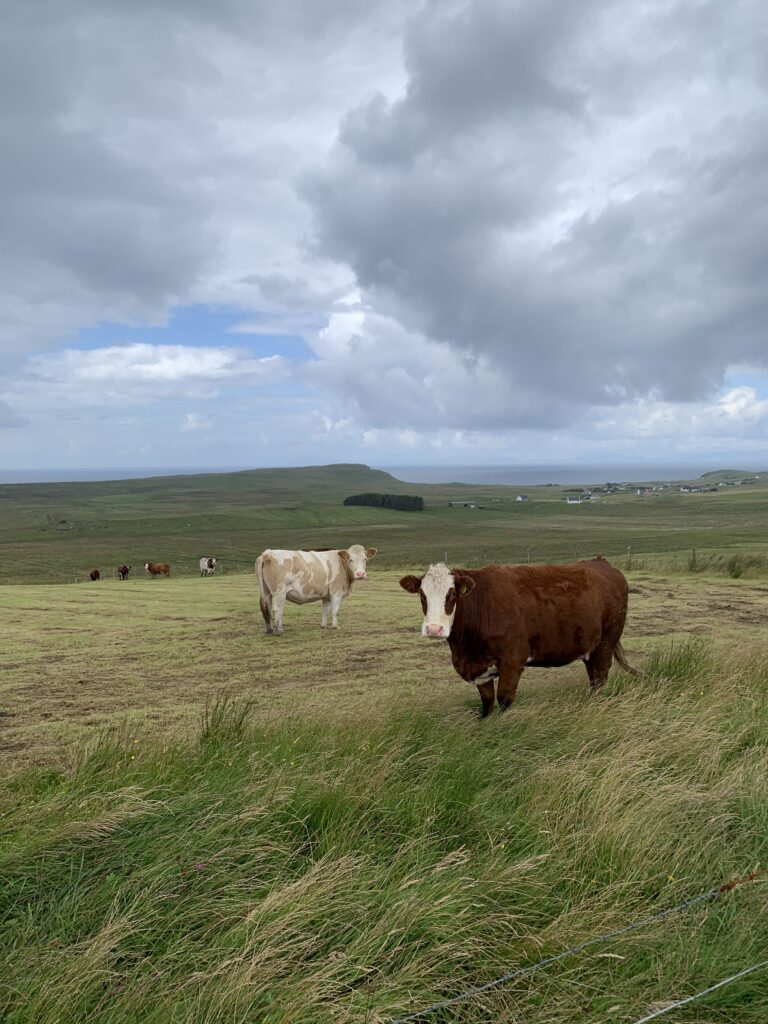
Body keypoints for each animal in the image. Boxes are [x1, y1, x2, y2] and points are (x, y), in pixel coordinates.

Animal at [399, 557, 638, 716]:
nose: (434, 629)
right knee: (594, 677)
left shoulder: (512, 661)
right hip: (589, 646)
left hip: (607, 641)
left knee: (600, 676)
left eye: (452, 594)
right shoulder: (479, 667)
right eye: (422, 595)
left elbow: (504, 699)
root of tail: (601, 563)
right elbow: (487, 702)